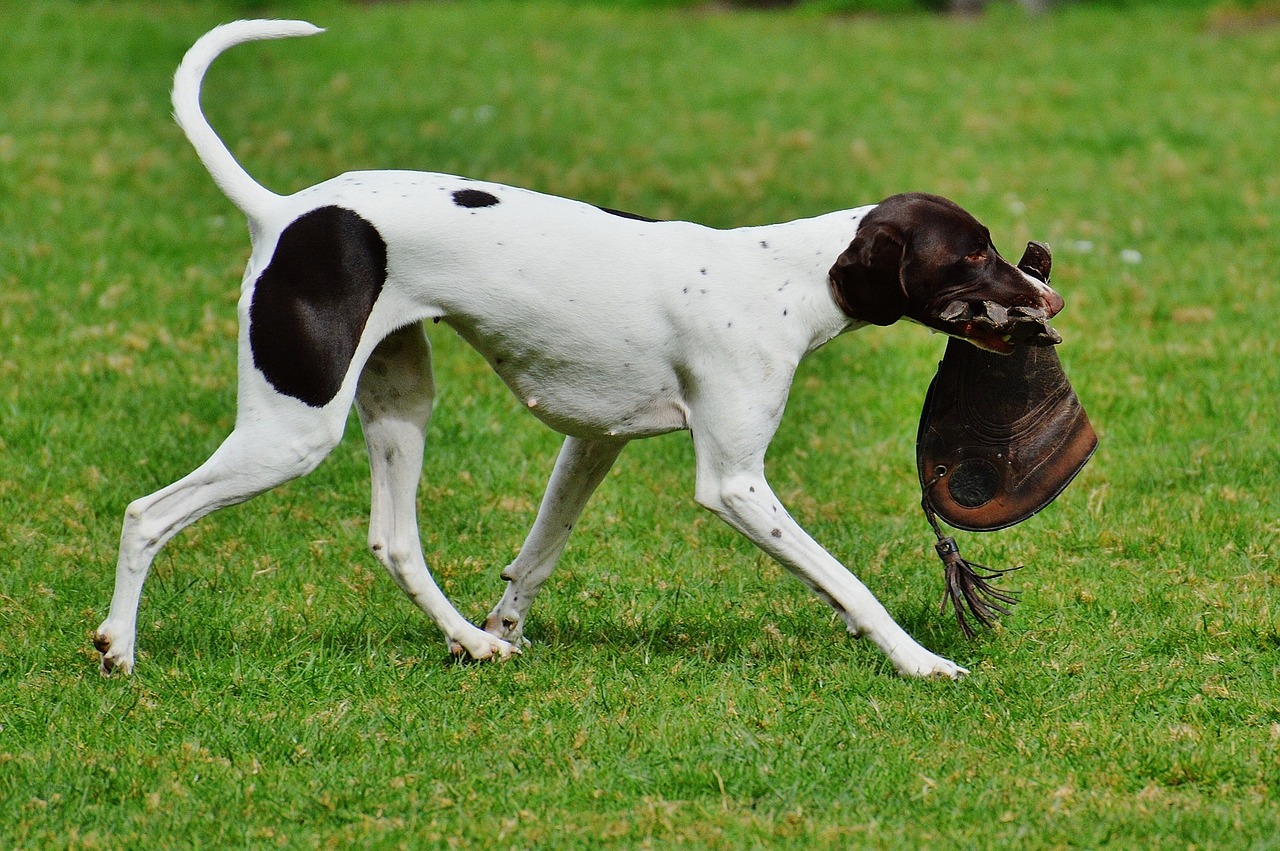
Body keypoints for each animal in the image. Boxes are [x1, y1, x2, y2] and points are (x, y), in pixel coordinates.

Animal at [94, 19, 1064, 675]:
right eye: (971, 253)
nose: (1050, 295)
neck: (786, 276)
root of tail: (282, 210)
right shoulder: (736, 484)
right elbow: (847, 580)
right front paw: (920, 659)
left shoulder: (594, 443)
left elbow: (538, 553)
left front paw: (506, 623)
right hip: (292, 431)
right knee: (148, 512)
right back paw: (119, 648)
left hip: (400, 407)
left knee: (395, 541)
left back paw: (470, 640)